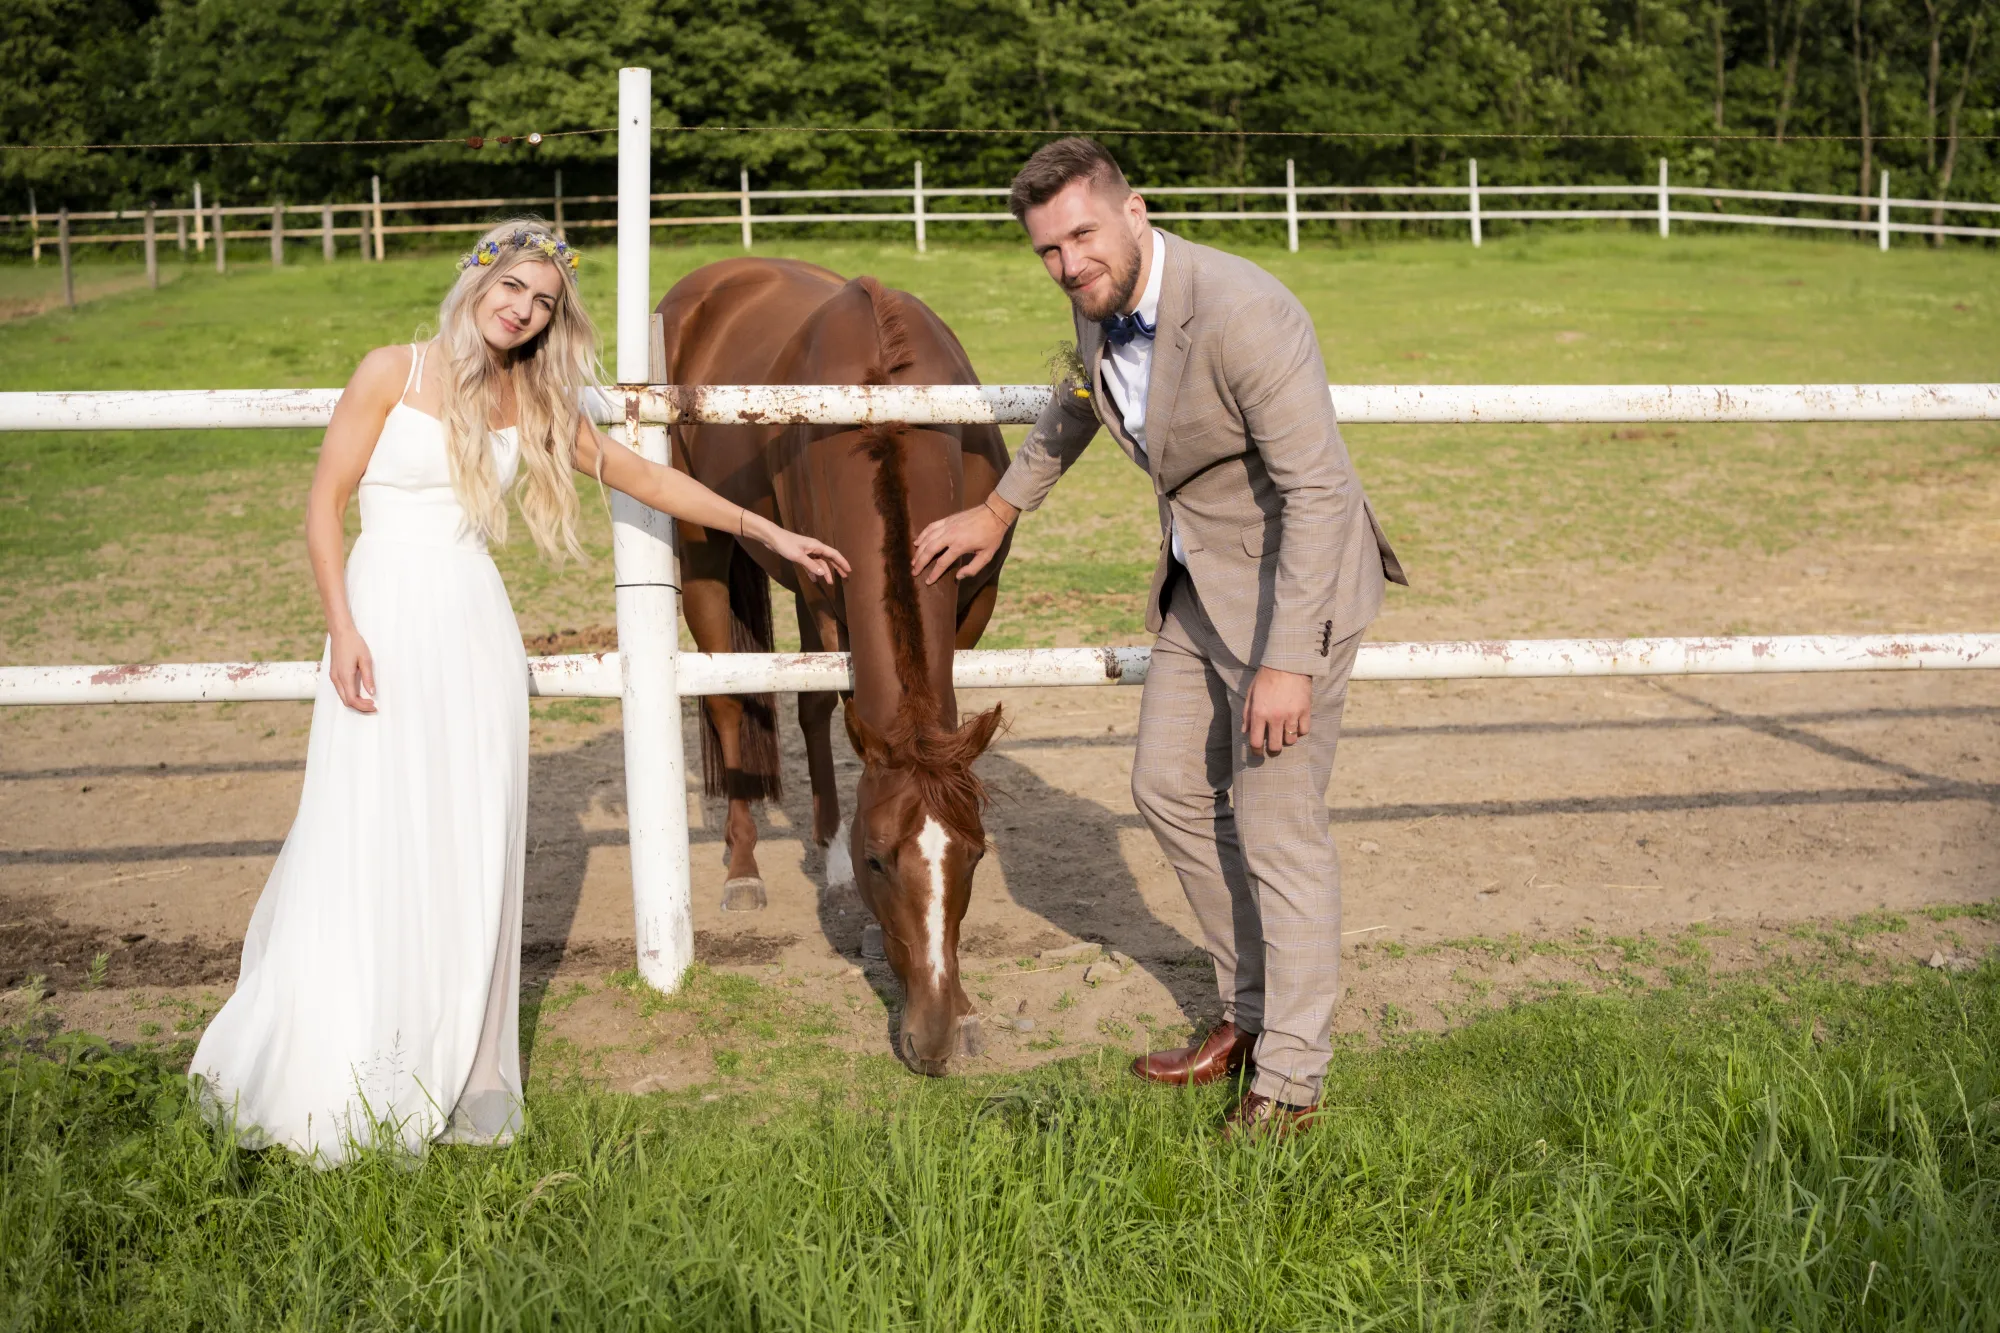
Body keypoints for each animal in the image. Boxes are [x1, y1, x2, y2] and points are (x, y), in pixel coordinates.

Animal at [657, 258, 1013, 1075]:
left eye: (976, 856)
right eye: (878, 857)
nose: (931, 1039)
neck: (885, 411)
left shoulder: (975, 595)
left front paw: (970, 1010)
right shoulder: (824, 591)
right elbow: (822, 705)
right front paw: (841, 879)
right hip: (701, 550)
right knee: (732, 701)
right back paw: (746, 869)